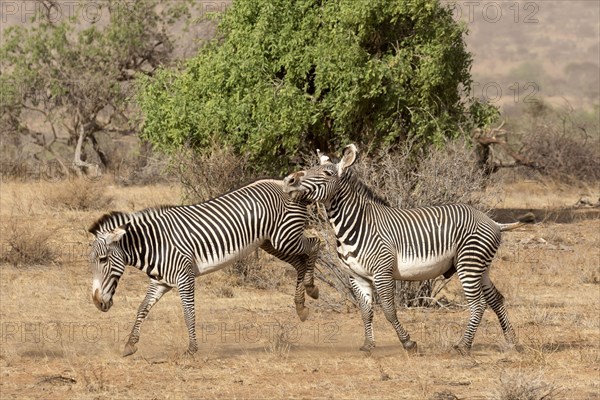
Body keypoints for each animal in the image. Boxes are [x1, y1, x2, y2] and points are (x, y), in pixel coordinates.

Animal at [88, 179, 318, 356]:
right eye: (91, 261)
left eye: (103, 260)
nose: (97, 302)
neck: (155, 244)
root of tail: (284, 183)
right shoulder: (161, 282)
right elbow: (143, 307)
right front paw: (130, 344)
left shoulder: (185, 276)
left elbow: (188, 312)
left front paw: (192, 349)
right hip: (271, 242)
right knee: (300, 261)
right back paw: (301, 306)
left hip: (285, 237)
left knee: (315, 244)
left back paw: (311, 287)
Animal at [282, 143, 536, 354]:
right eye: (310, 168)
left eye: (326, 173)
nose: (288, 181)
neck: (356, 223)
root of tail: (492, 221)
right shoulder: (356, 276)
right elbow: (366, 310)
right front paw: (368, 345)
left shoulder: (382, 272)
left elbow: (388, 309)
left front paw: (408, 343)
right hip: (481, 266)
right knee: (496, 299)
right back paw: (512, 342)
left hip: (469, 264)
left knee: (479, 304)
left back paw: (463, 347)